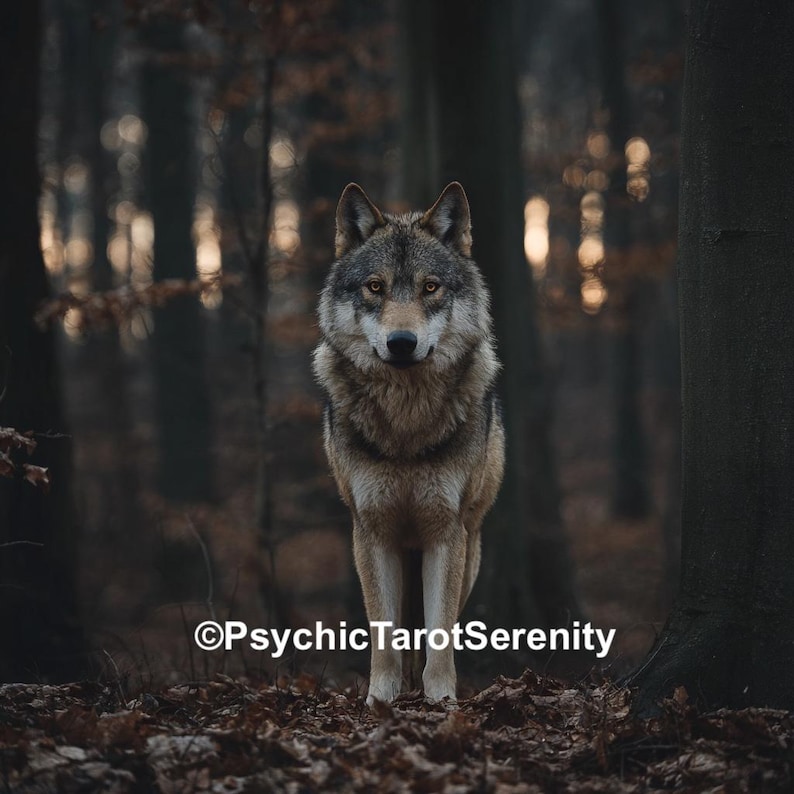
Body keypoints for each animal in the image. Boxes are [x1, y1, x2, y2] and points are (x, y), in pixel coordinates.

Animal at [312, 182, 505, 706]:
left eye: (430, 287)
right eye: (375, 287)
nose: (402, 342)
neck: (405, 426)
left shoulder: (446, 533)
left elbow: (440, 636)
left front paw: (441, 702)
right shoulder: (371, 532)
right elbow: (384, 636)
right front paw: (380, 700)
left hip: (469, 551)